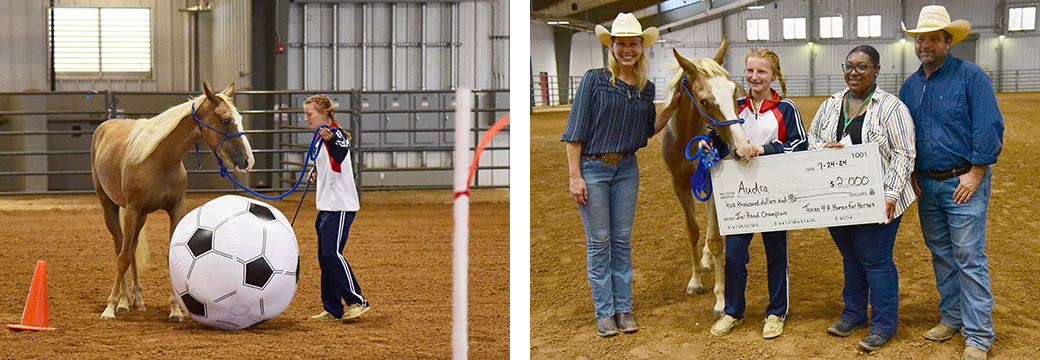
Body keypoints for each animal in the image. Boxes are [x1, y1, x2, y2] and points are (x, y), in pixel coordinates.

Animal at [91, 82, 253, 318]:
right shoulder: (131, 210)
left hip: (141, 217)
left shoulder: (175, 209)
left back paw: (137, 300)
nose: (248, 160)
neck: (159, 160)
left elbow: (167, 257)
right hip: (111, 207)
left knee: (132, 248)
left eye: (239, 118)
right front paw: (110, 307)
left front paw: (176, 309)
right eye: (225, 120)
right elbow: (123, 259)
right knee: (121, 248)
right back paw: (122, 301)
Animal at [661, 37, 752, 314]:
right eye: (703, 101)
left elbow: (714, 238)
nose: (743, 147)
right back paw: (704, 261)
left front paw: (721, 299)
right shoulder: (678, 184)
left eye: (732, 92)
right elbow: (693, 230)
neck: (686, 138)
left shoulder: (714, 181)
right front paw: (695, 279)